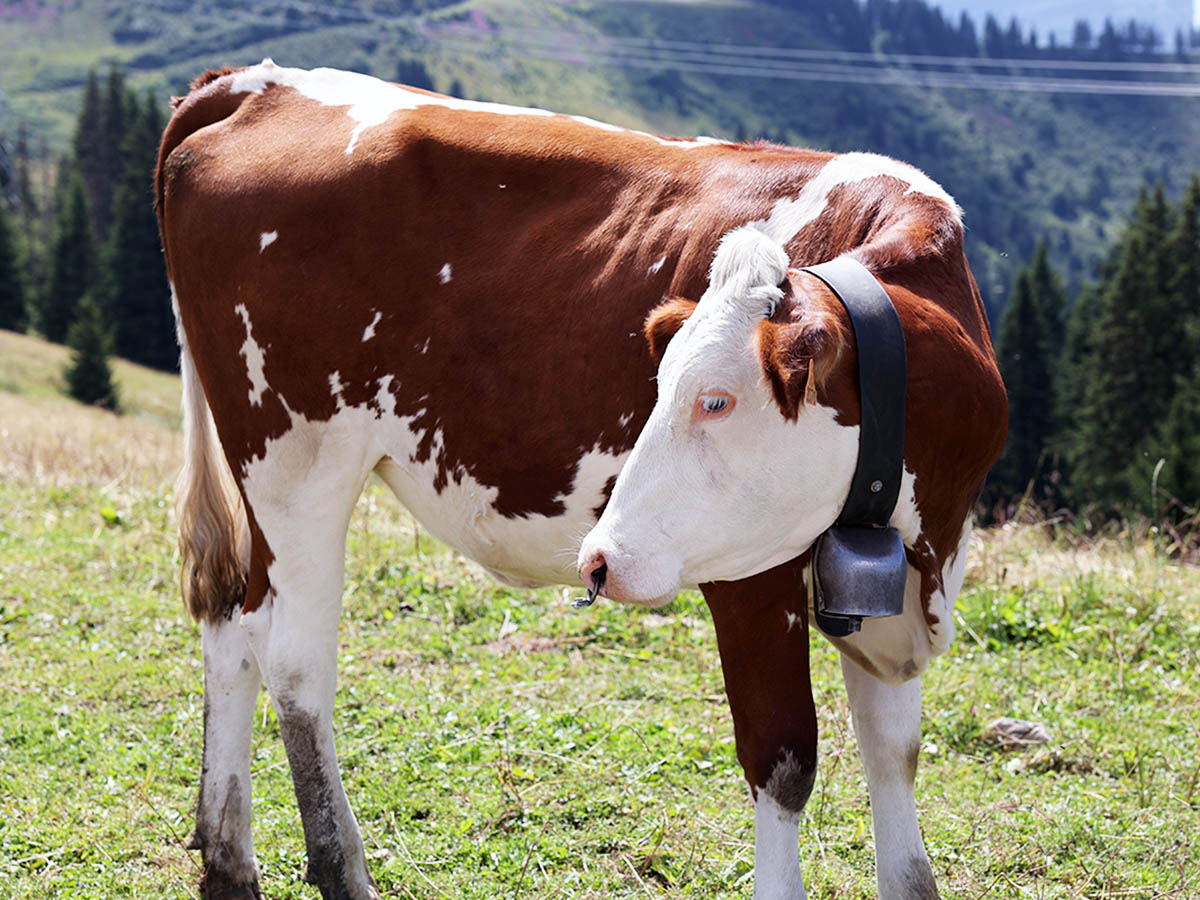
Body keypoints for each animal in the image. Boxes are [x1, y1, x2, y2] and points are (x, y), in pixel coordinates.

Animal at [156, 60, 1006, 900]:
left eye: (715, 399)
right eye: (661, 385)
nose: (599, 559)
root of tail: (251, 82)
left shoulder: (901, 581)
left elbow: (894, 753)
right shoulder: (752, 579)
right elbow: (783, 760)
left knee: (233, 621)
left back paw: (228, 860)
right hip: (296, 455)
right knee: (295, 659)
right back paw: (341, 870)